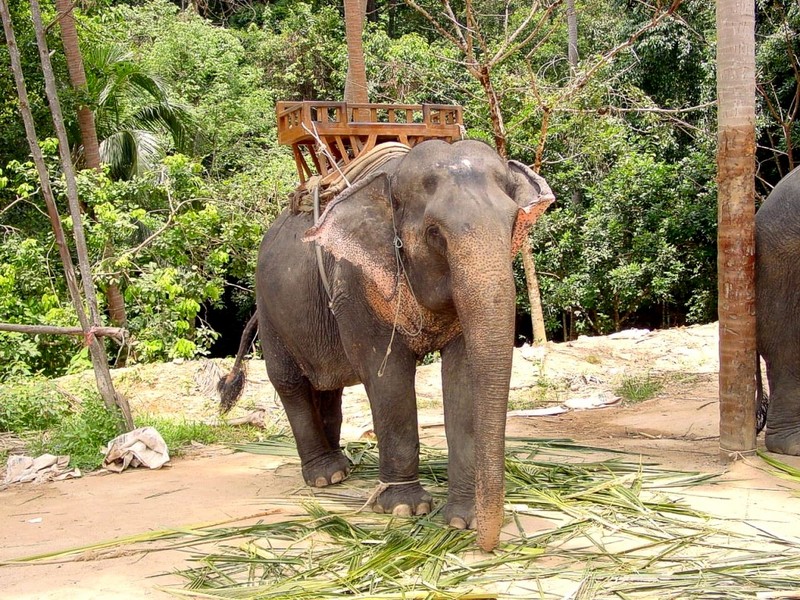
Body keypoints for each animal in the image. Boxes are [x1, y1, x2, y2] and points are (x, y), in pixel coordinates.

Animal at [220, 139, 556, 548]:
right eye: (434, 233)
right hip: (271, 309)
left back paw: (340, 471)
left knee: (327, 387)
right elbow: (387, 376)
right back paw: (323, 477)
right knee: (291, 382)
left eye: (512, 225)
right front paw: (405, 509)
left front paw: (464, 520)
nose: (488, 546)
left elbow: (463, 378)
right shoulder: (354, 281)